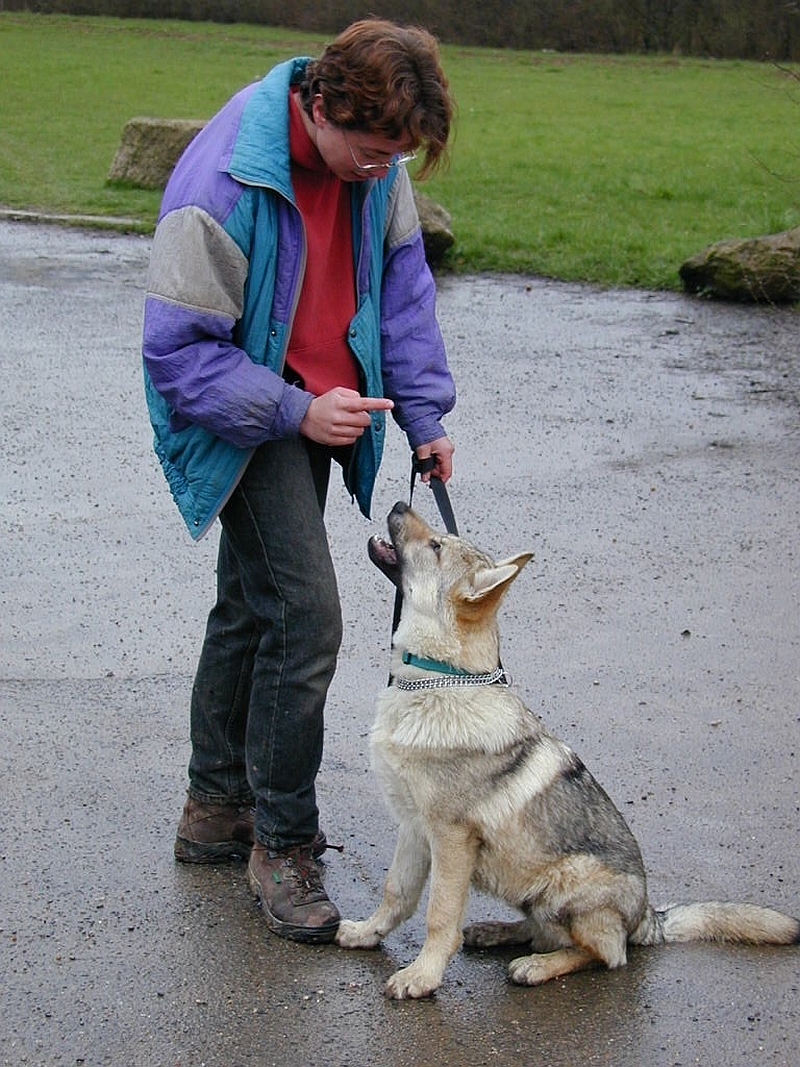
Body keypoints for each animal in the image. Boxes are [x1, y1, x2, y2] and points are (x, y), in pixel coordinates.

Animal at [337, 501, 800, 998]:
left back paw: (537, 966)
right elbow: (396, 895)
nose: (399, 504)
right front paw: (366, 934)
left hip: (565, 882)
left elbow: (438, 916)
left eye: (437, 545)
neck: (441, 679)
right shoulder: (413, 829)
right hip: (529, 889)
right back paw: (497, 932)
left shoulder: (450, 839)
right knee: (546, 931)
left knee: (605, 953)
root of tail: (648, 918)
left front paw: (422, 977)